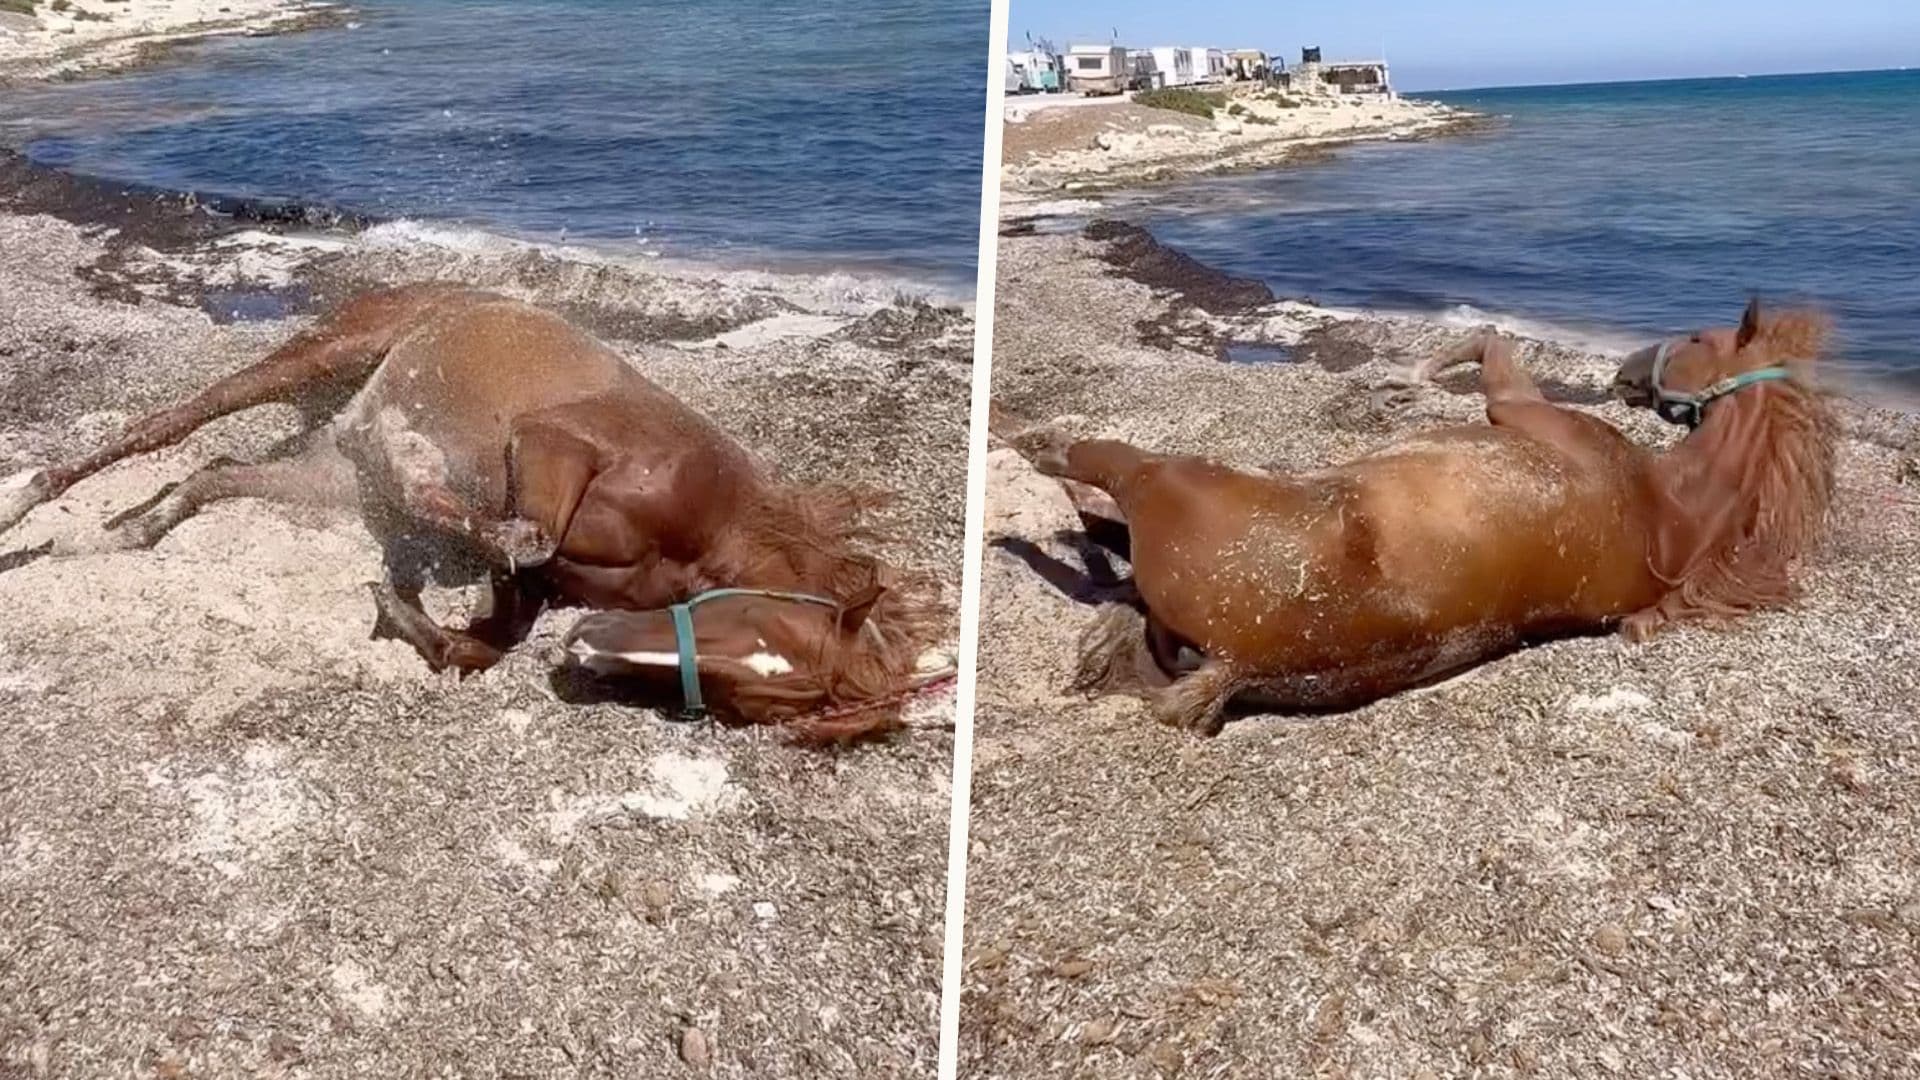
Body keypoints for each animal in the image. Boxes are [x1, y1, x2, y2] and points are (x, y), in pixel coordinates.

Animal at [0, 285, 947, 742]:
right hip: (319, 357)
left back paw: (138, 527)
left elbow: (494, 631)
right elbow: (526, 547)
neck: (709, 527)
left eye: (753, 695)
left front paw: (409, 610)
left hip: (328, 474)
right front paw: (434, 581)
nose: (591, 647)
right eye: (761, 635)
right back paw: (28, 504)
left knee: (220, 470)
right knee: (168, 424)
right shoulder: (548, 445)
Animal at [1000, 299, 1837, 735]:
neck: (1667, 511)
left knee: (1095, 471)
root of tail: (1239, 665)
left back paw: (1032, 455)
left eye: (1695, 338)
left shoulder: (1514, 407)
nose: (1626, 370)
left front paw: (1411, 373)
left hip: (1162, 477)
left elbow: (1491, 340)